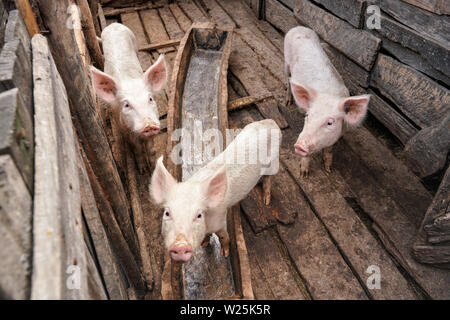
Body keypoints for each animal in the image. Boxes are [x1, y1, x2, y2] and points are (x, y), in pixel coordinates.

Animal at [284, 26, 370, 178]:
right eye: (307, 116)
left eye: (330, 122)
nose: (299, 145)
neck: (329, 95)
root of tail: (298, 28)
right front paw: (303, 174)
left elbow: (329, 150)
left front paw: (329, 169)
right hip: (286, 63)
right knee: (287, 80)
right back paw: (287, 102)